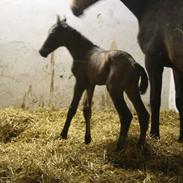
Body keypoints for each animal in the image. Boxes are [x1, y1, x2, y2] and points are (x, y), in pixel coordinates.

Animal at [68, 0, 183, 141]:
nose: (73, 8)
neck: (151, 8)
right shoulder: (175, 67)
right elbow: (179, 101)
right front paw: (181, 137)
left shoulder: (153, 61)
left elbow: (155, 100)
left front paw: (154, 134)